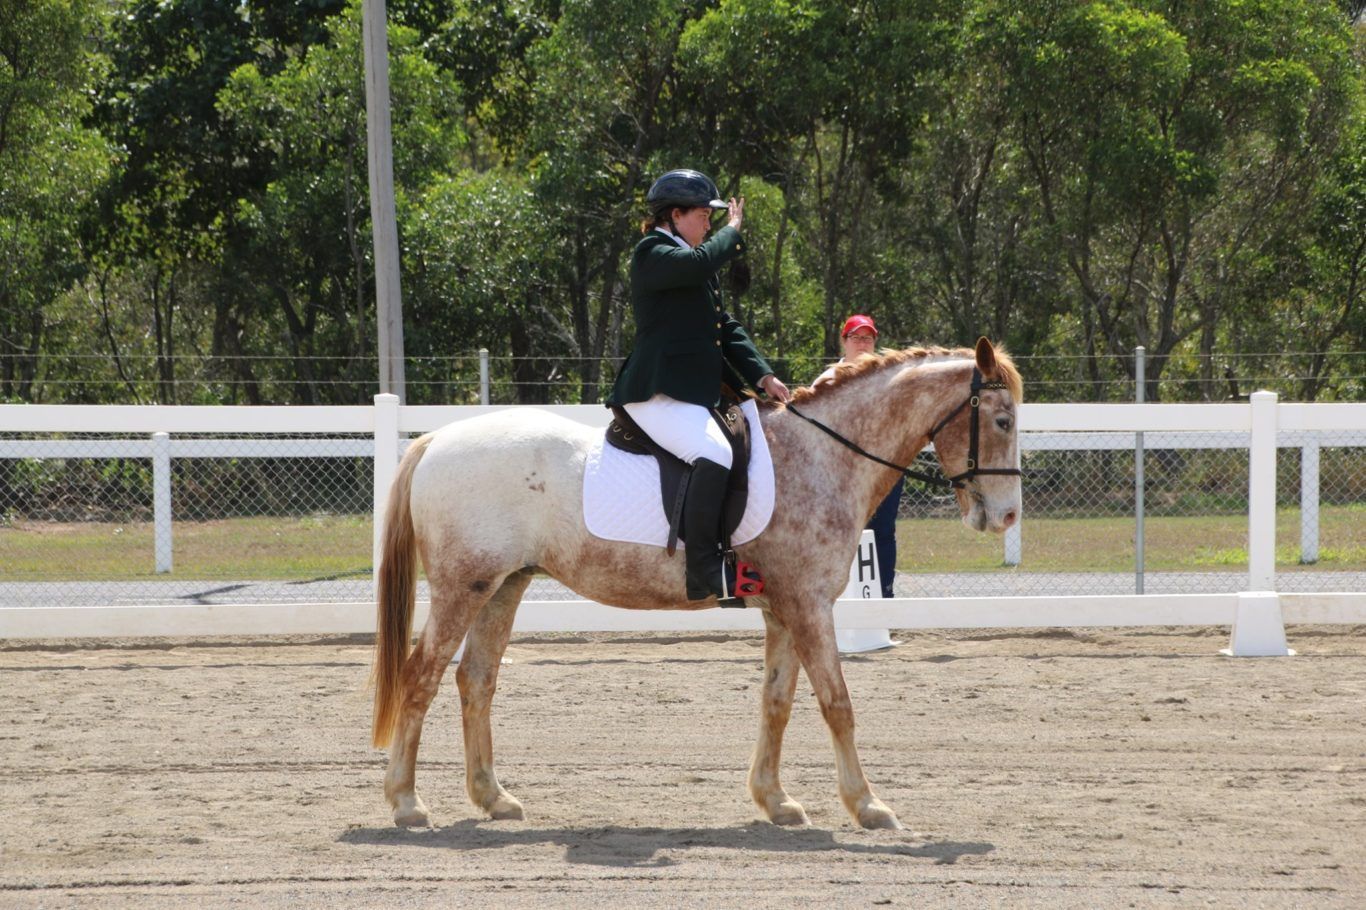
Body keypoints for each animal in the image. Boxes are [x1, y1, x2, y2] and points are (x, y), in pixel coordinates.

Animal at [371, 337, 1022, 830]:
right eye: (1002, 419)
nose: (1007, 516)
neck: (821, 455)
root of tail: (437, 439)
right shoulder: (811, 605)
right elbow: (837, 703)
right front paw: (868, 805)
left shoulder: (784, 609)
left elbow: (777, 700)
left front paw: (775, 800)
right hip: (464, 587)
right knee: (420, 676)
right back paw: (406, 803)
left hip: (504, 586)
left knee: (476, 681)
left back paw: (493, 797)